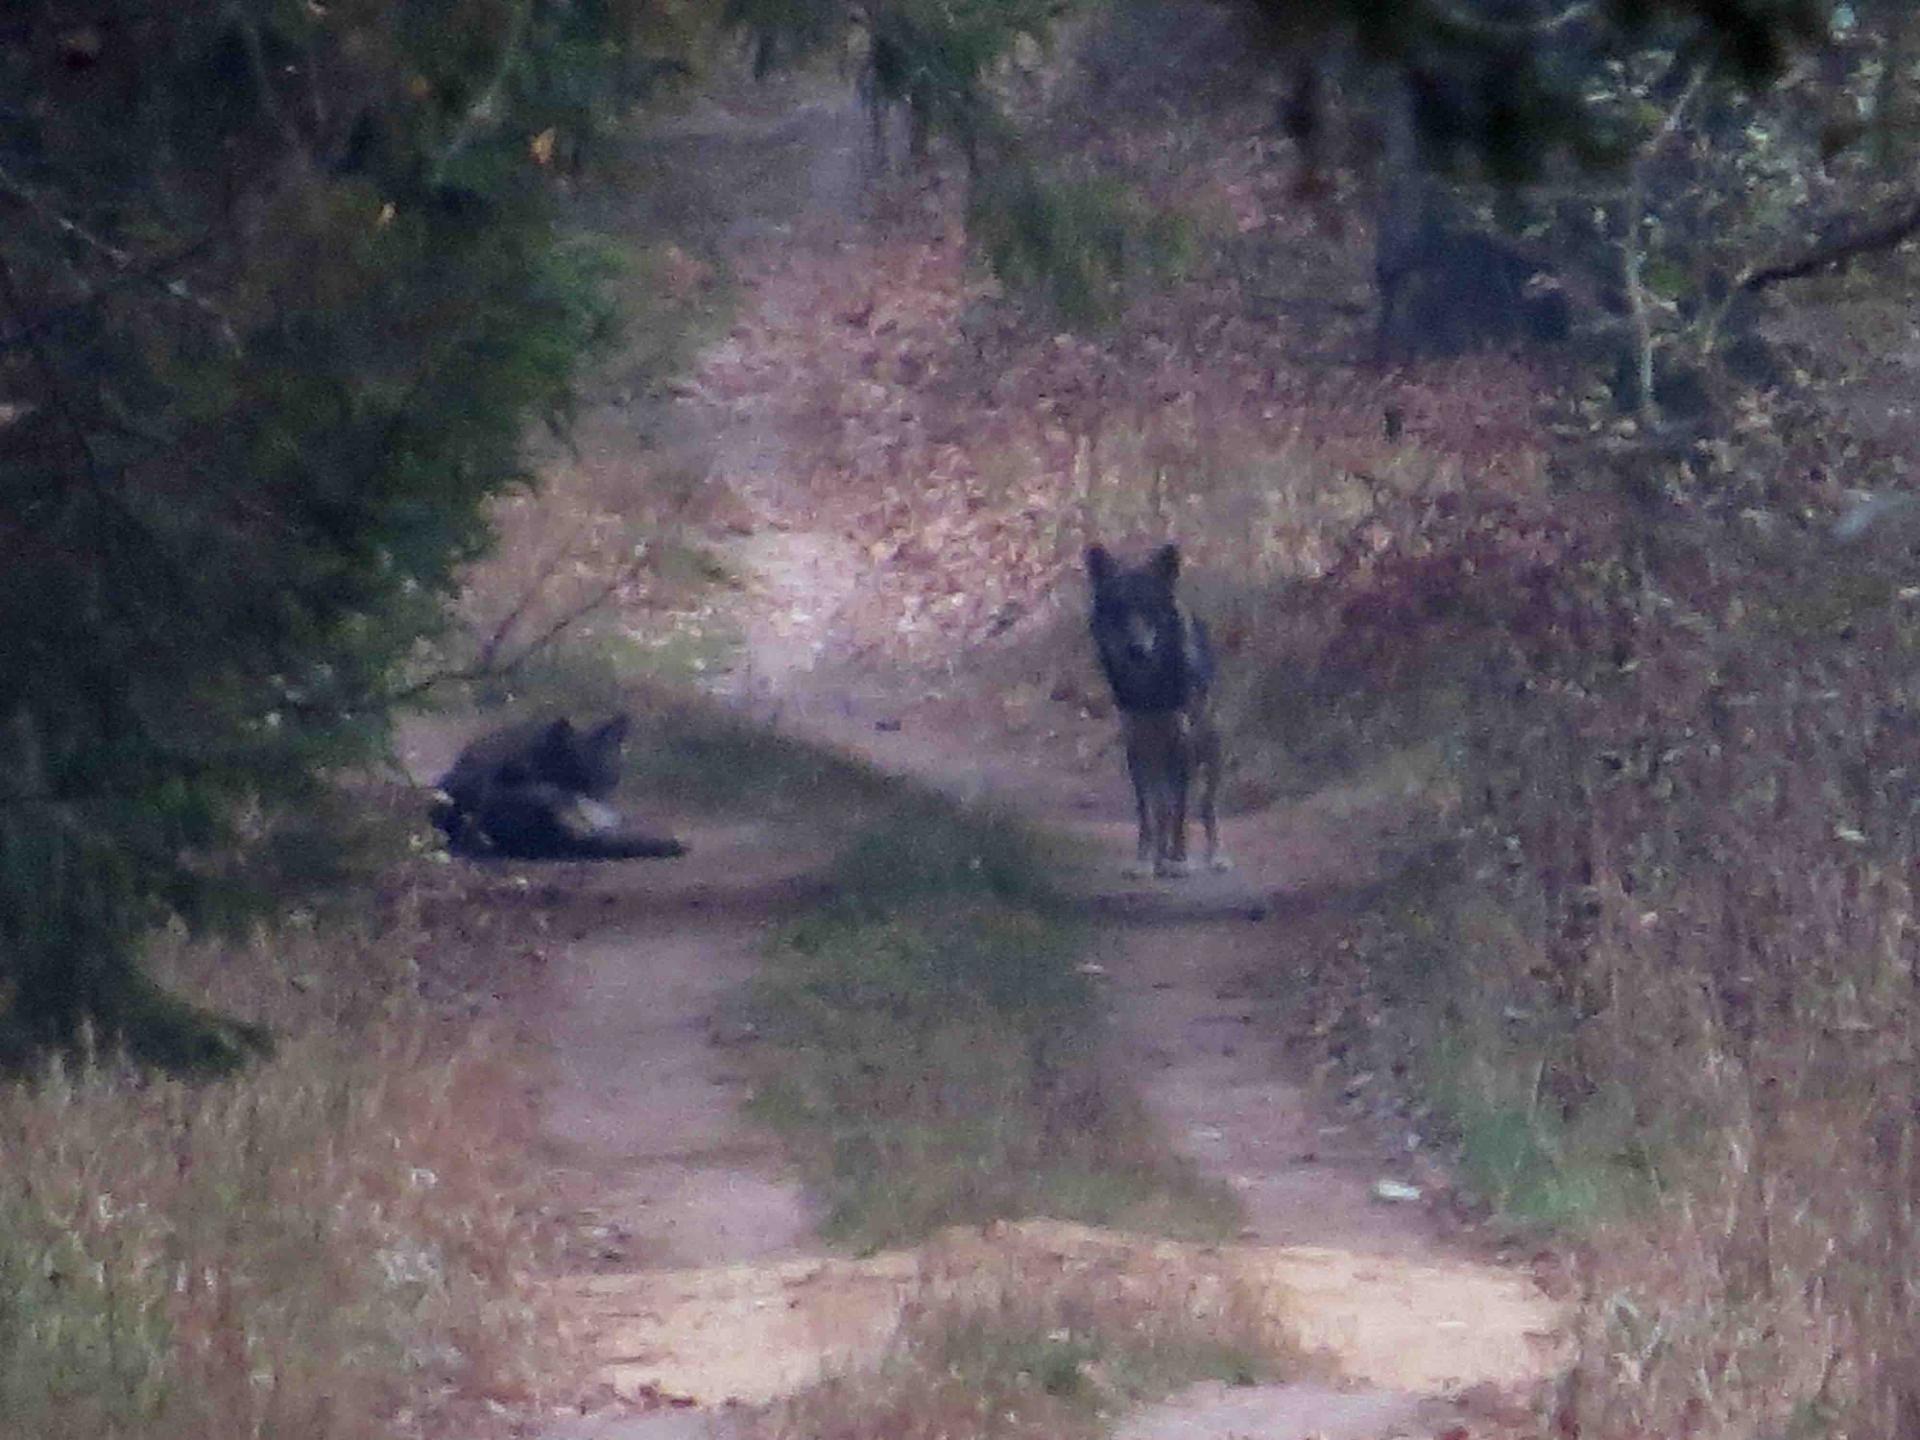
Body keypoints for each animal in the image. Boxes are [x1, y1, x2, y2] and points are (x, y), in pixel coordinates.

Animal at [1082, 545, 1228, 875]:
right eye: (1120, 610)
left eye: (1149, 609)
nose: (1137, 650)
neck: (1150, 688)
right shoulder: (1136, 742)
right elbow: (1148, 811)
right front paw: (1144, 861)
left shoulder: (1182, 740)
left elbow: (1180, 810)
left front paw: (1179, 861)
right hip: (1158, 752)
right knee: (1162, 806)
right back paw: (1160, 857)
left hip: (1209, 747)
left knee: (1206, 806)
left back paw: (1213, 857)